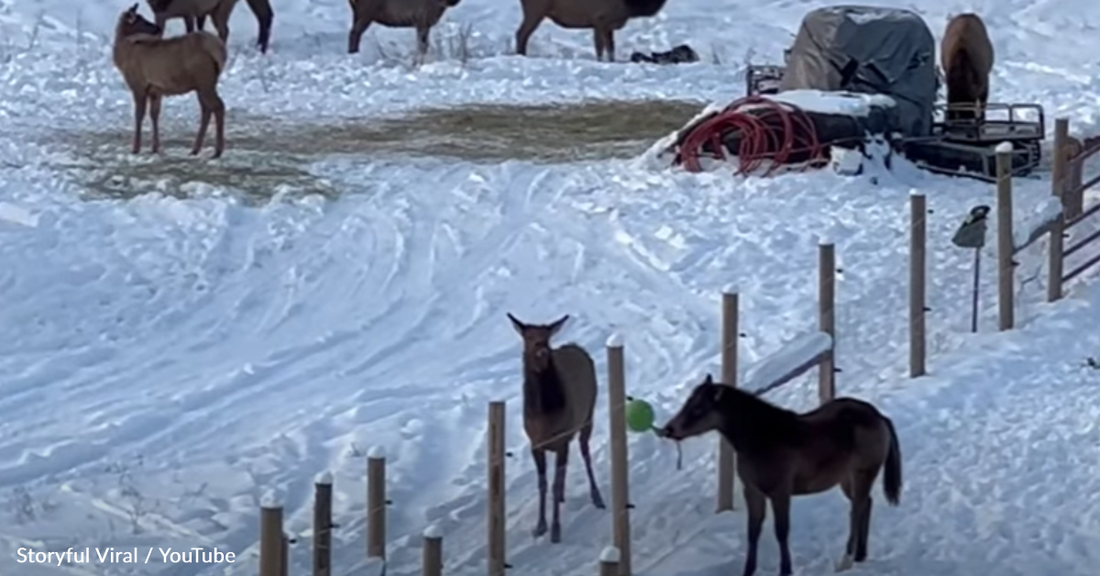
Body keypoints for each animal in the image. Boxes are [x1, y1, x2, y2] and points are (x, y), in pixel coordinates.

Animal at [112, 4, 228, 158]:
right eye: (141, 20)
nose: (157, 28)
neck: (123, 56)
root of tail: (219, 51)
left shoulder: (138, 84)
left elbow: (139, 115)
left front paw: (135, 148)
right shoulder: (155, 90)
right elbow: (154, 114)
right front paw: (155, 148)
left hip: (205, 80)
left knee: (218, 106)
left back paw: (217, 151)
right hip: (203, 84)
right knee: (207, 110)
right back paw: (195, 149)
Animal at [506, 313, 605, 543]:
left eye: (547, 337)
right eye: (528, 336)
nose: (542, 349)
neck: (544, 415)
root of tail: (578, 347)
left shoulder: (562, 439)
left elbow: (554, 483)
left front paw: (555, 529)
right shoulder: (535, 444)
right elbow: (543, 484)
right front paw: (540, 526)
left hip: (588, 417)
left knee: (585, 453)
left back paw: (597, 496)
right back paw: (562, 498)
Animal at [515, 0, 669, 62]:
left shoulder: (601, 25)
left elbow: (606, 47)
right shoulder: (601, 19)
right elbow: (604, 47)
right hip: (536, 10)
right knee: (521, 33)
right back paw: (521, 54)